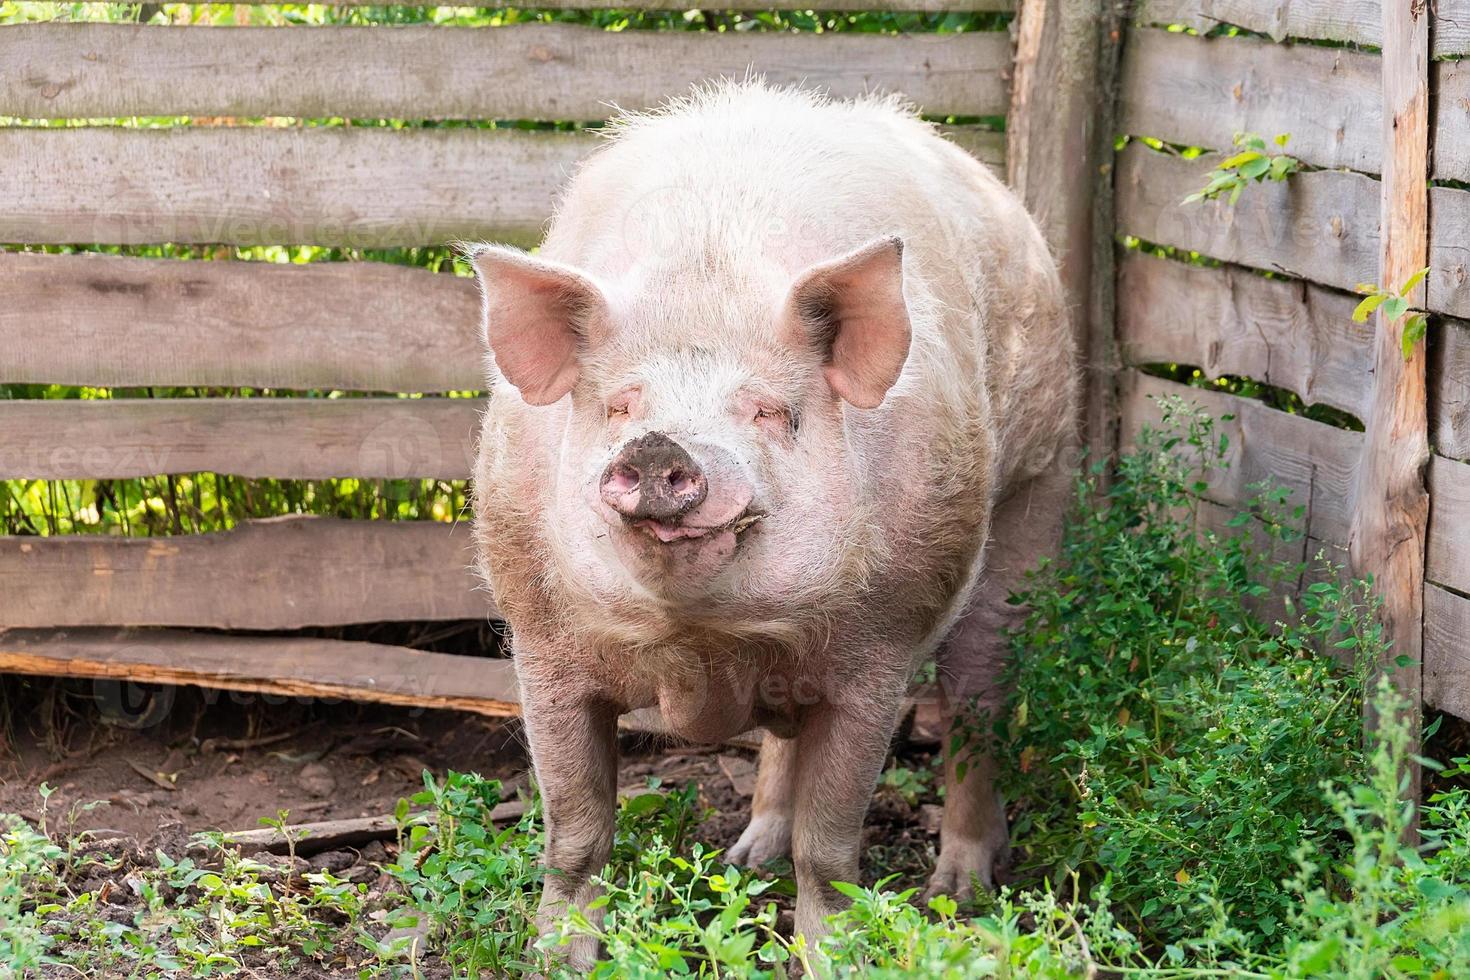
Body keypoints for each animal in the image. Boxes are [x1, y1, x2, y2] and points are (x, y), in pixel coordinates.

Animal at [470, 78, 1081, 963]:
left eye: (769, 411)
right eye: (620, 405)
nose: (658, 446)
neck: (705, 642)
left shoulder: (877, 655)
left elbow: (830, 852)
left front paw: (835, 959)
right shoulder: (541, 640)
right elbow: (575, 835)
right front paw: (553, 961)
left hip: (1037, 486)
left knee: (976, 706)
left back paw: (960, 890)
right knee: (781, 741)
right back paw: (746, 855)